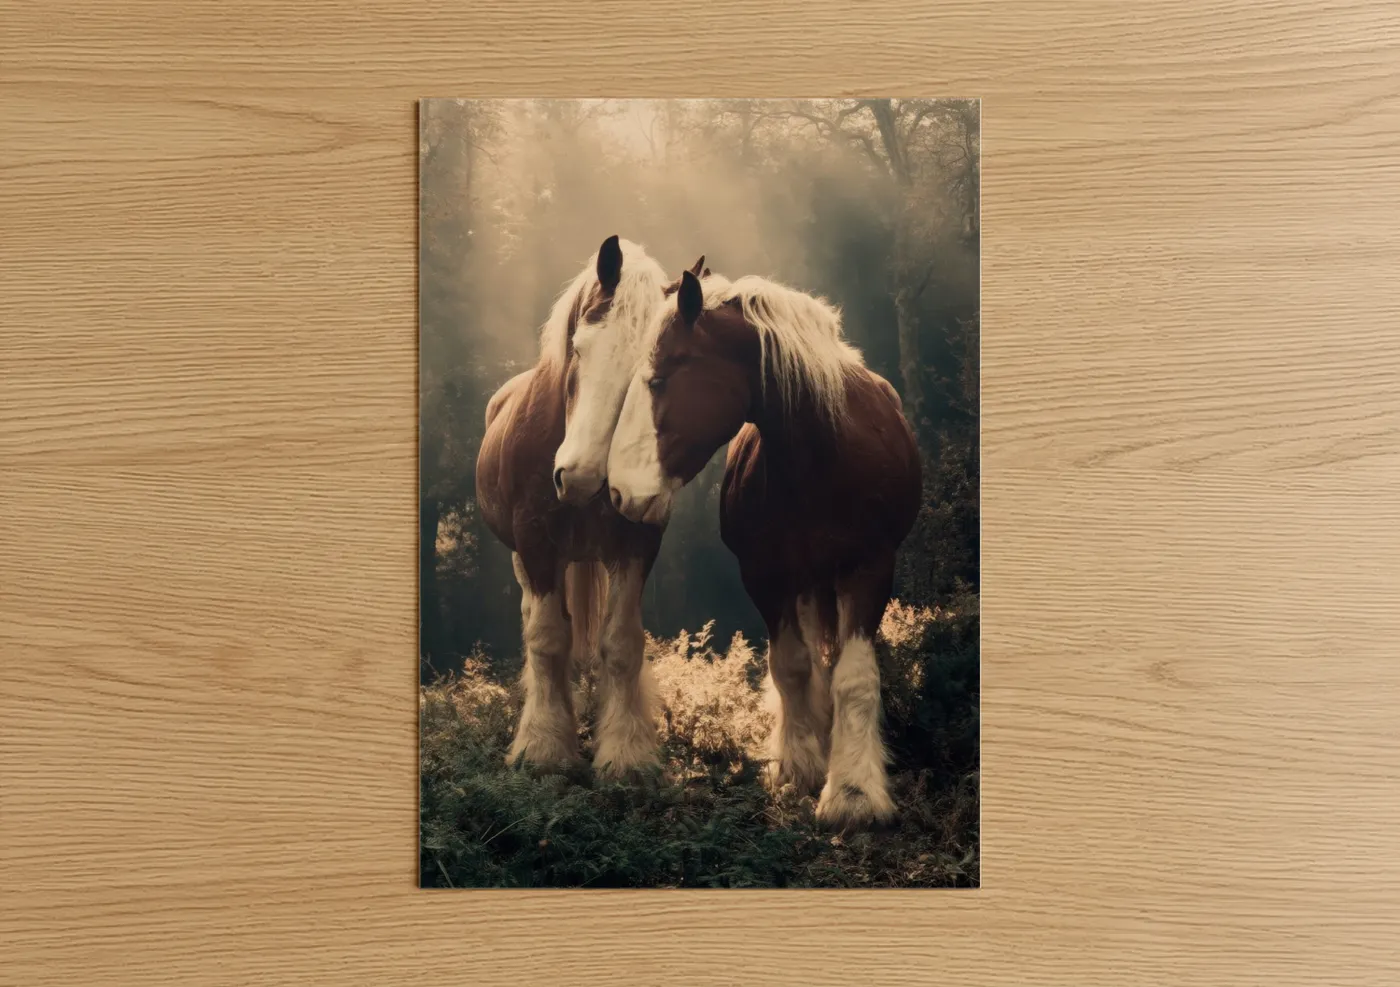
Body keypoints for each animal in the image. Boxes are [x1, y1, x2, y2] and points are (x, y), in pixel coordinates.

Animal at [475, 236, 705, 775]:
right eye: (579, 347)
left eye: (650, 377)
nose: (579, 477)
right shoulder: (534, 541)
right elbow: (547, 639)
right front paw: (543, 747)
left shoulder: (636, 542)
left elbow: (620, 644)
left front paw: (625, 753)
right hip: (526, 559)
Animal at [606, 269, 922, 828]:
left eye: (659, 380)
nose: (621, 491)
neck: (823, 456)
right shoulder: (766, 576)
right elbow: (792, 667)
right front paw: (801, 767)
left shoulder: (869, 568)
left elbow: (855, 677)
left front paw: (855, 793)